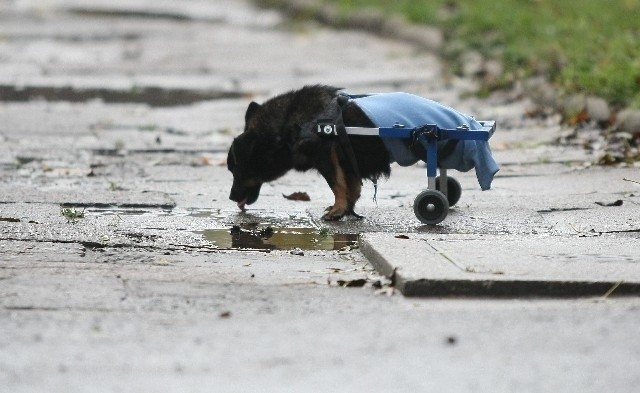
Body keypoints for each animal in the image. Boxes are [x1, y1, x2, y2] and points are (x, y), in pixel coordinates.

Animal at [228, 84, 392, 219]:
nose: (231, 197)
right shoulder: (346, 163)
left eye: (236, 171)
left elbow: (336, 185)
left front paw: (338, 209)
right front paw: (345, 209)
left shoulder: (326, 157)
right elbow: (352, 188)